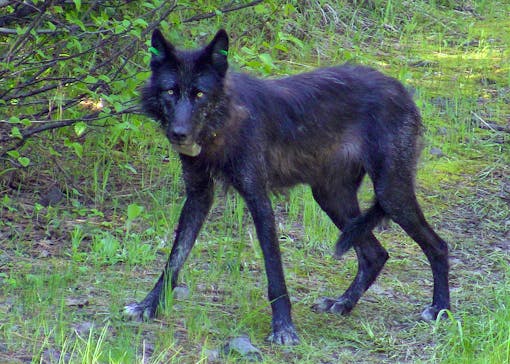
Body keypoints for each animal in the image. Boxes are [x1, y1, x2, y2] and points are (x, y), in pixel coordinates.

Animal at [126, 29, 450, 346]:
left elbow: (274, 271)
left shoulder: (258, 199)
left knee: (438, 246)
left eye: (199, 94)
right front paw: (148, 306)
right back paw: (344, 303)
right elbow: (174, 259)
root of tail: (401, 88)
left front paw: (283, 328)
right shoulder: (198, 197)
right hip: (332, 198)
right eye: (170, 91)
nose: (178, 134)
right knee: (375, 254)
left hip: (390, 194)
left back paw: (440, 309)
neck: (222, 125)